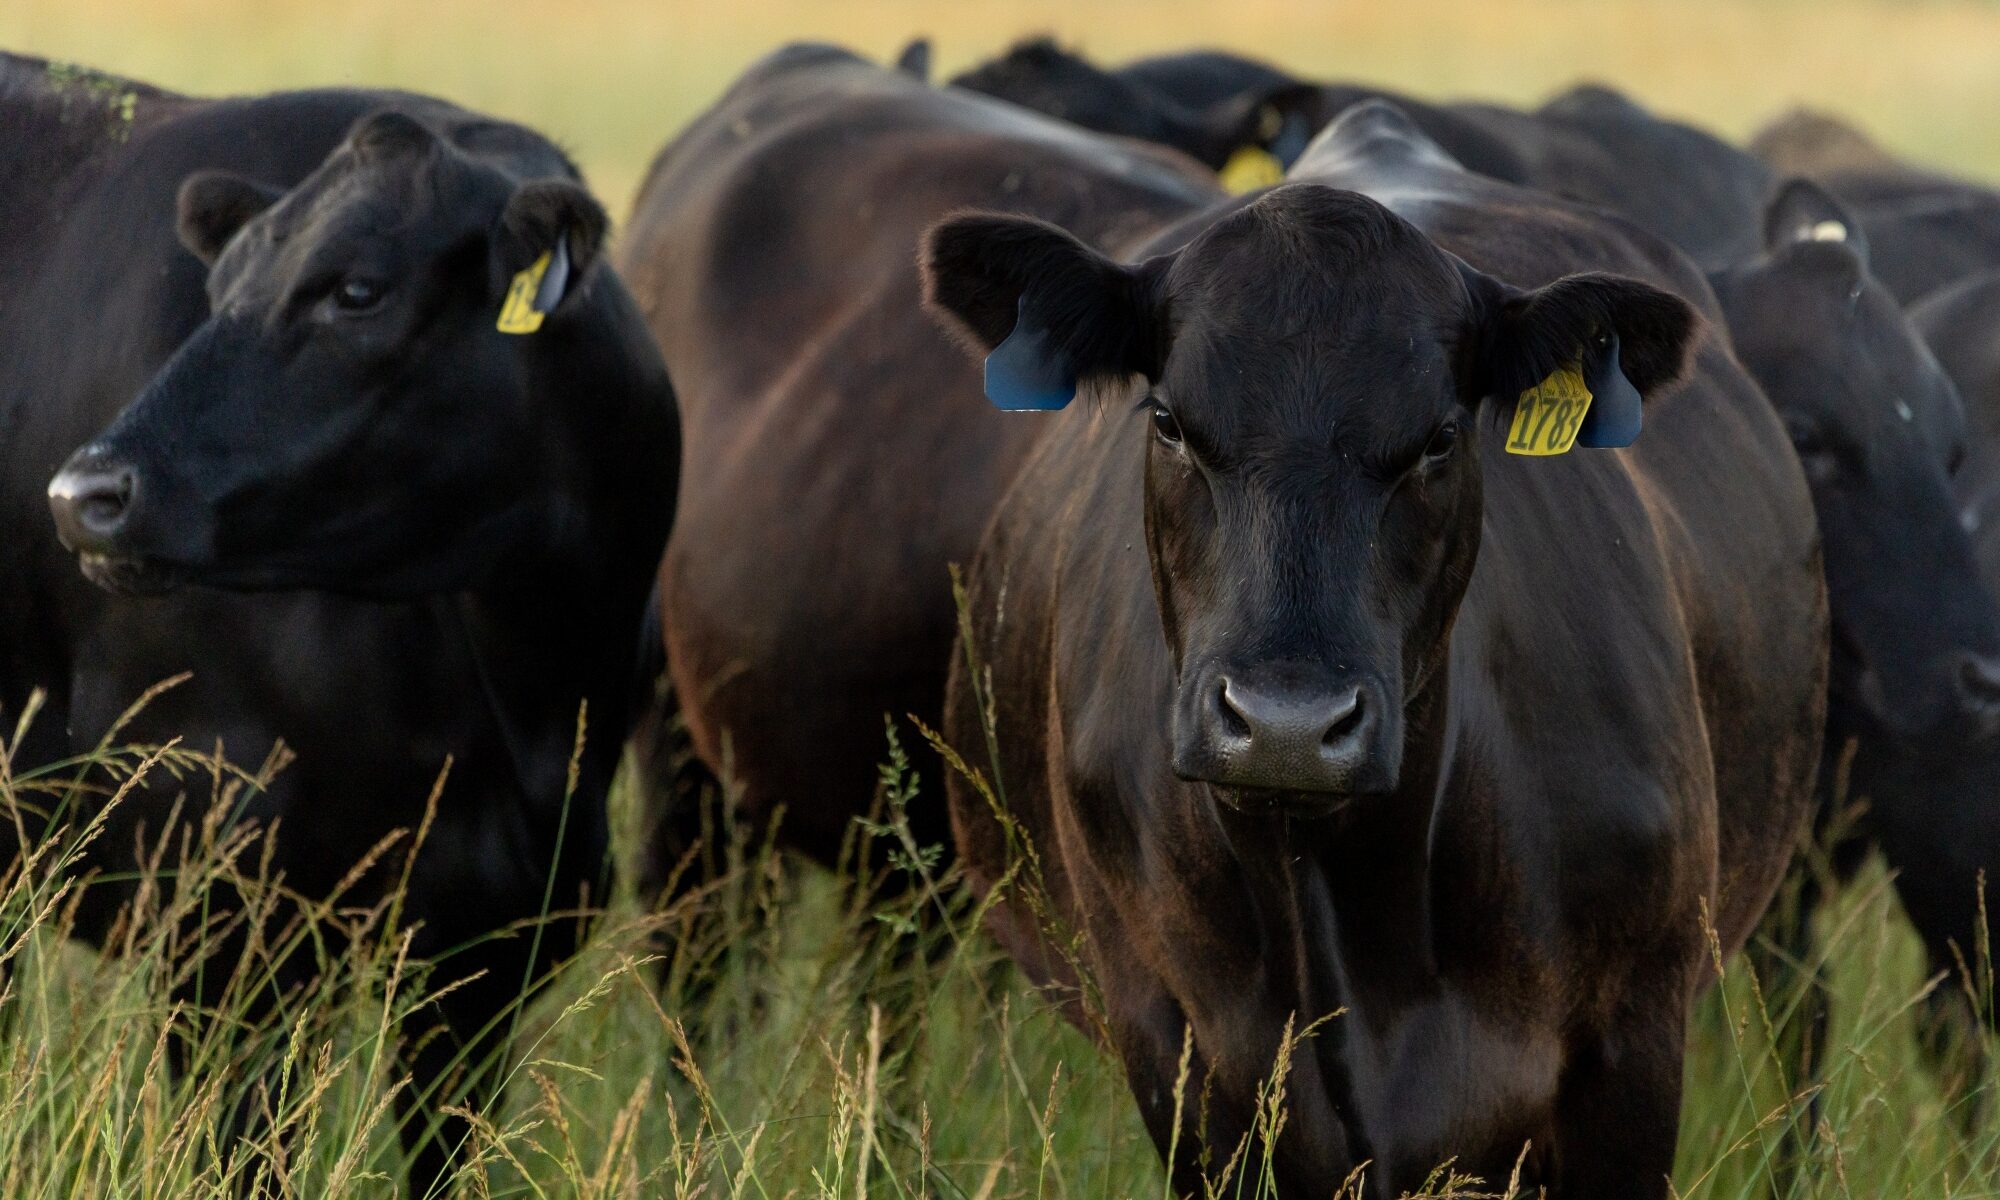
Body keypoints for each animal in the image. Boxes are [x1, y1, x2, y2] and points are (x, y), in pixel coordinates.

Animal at [0, 53, 679, 1193]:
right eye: (218, 292)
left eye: (357, 289)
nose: (84, 495)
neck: (521, 704)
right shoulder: (226, 931)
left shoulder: (488, 954)